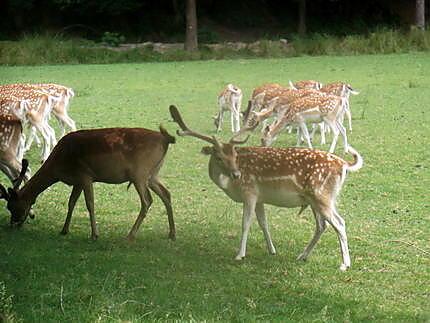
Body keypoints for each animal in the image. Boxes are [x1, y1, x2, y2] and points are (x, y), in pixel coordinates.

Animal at [0, 125, 176, 242]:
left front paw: (94, 235)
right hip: (153, 174)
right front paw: (64, 230)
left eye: (13, 206)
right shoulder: (77, 181)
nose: (13, 224)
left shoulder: (85, 175)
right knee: (166, 194)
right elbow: (71, 203)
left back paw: (130, 235)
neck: (59, 167)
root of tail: (166, 139)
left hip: (139, 173)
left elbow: (90, 204)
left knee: (147, 201)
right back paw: (172, 234)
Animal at [169, 104, 362, 270]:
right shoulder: (260, 198)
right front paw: (272, 250)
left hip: (322, 195)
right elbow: (263, 223)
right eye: (218, 156)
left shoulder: (249, 192)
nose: (237, 174)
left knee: (340, 223)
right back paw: (302, 256)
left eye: (234, 155)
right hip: (317, 199)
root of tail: (344, 164)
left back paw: (344, 264)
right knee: (322, 225)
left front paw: (240, 254)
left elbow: (245, 223)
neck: (230, 186)